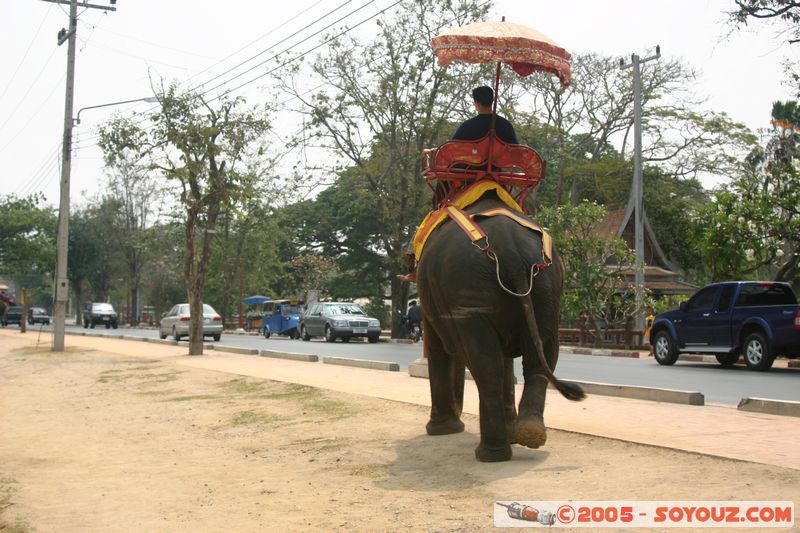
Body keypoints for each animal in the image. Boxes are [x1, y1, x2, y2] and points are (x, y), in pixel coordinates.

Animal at [416, 191, 585, 462]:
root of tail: (509, 247)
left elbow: (437, 346)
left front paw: (442, 430)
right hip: (547, 291)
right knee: (540, 353)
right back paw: (528, 433)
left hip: (471, 291)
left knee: (486, 365)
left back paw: (491, 453)